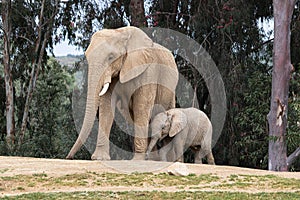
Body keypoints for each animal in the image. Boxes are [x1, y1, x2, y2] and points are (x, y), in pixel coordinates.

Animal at [66, 27, 178, 161]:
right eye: (87, 57)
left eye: (111, 57)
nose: (68, 157)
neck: (121, 33)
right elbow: (106, 106)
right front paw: (99, 158)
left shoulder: (149, 71)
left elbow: (141, 107)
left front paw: (137, 160)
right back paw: (152, 159)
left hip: (171, 92)